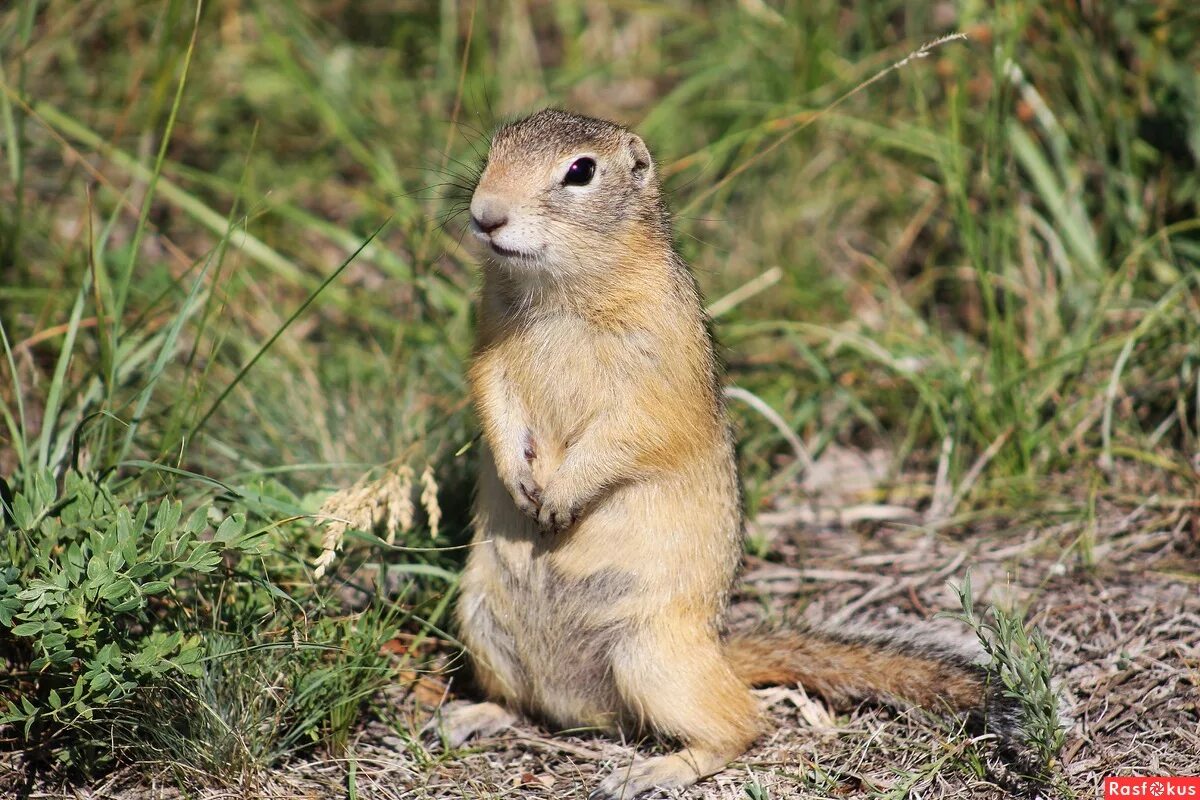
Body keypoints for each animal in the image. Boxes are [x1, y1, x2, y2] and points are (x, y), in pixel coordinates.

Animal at [441, 109, 1012, 796]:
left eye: (581, 171)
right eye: (493, 149)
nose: (485, 214)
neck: (560, 290)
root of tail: (721, 651)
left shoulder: (660, 374)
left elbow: (633, 432)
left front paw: (558, 496)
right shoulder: (488, 347)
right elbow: (491, 398)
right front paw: (518, 478)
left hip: (654, 659)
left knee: (742, 725)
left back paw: (654, 769)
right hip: (484, 623)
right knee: (523, 704)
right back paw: (472, 716)